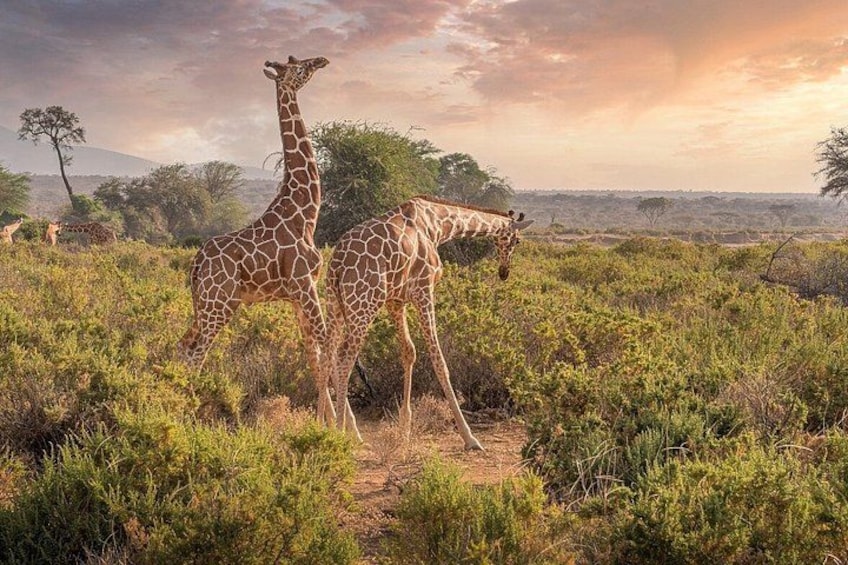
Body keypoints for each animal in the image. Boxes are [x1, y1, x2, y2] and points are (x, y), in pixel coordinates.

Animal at [177, 56, 356, 428]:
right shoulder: (304, 285)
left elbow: (314, 354)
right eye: (300, 67)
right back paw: (187, 415)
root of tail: (197, 263)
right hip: (219, 306)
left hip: (204, 305)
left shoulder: (296, 296)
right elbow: (327, 347)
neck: (306, 213)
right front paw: (349, 429)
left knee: (183, 346)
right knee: (197, 352)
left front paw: (326, 422)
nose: (322, 60)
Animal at [324, 196, 533, 450]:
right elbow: (439, 360)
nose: (504, 272)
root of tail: (337, 263)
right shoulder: (424, 290)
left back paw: (324, 426)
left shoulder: (396, 300)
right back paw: (342, 433)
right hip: (363, 304)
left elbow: (409, 352)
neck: (438, 225)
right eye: (517, 241)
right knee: (344, 357)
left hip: (335, 303)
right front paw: (469, 437)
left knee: (327, 355)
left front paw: (405, 429)